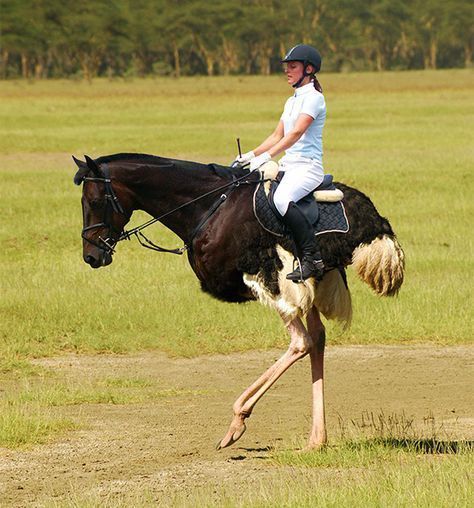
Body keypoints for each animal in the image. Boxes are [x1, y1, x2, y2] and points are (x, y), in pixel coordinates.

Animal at [73, 151, 404, 448]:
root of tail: (374, 225)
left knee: (303, 342)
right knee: (318, 338)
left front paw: (236, 423)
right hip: (313, 280)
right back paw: (316, 439)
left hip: (287, 278)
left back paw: (245, 422)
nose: (92, 254)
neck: (206, 207)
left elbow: (300, 342)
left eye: (95, 201)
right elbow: (315, 338)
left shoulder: (266, 278)